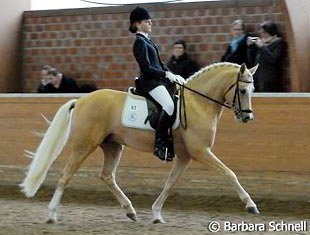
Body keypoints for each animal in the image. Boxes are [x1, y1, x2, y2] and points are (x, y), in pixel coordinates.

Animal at [20, 61, 260, 223]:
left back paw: (130, 210)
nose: (247, 117)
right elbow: (229, 173)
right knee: (65, 175)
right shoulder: (200, 151)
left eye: (253, 90)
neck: (197, 104)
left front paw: (157, 214)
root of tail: (81, 100)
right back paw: (52, 215)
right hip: (84, 145)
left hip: (112, 146)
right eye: (242, 90)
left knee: (107, 176)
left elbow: (170, 183)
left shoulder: (185, 157)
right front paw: (251, 205)